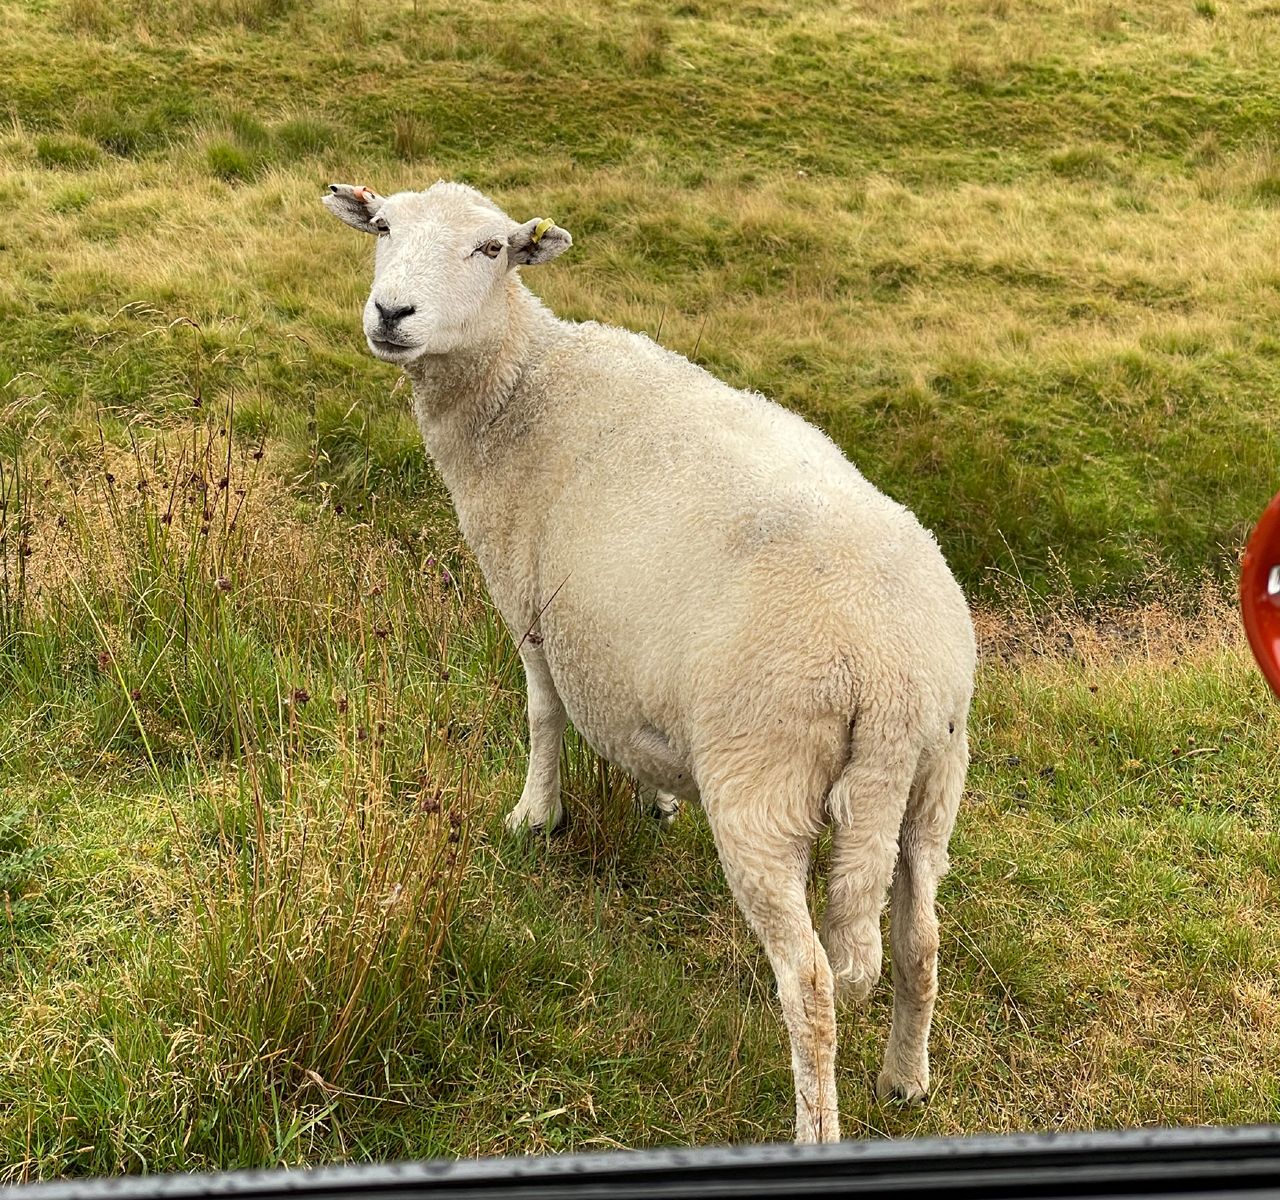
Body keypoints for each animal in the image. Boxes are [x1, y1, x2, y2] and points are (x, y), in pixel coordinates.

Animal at [325, 177, 972, 1141]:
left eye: (490, 249)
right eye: (384, 228)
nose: (391, 312)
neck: (522, 388)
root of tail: (890, 672)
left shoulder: (531, 606)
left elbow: (543, 714)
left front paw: (535, 817)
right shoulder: (612, 642)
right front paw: (656, 796)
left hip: (762, 785)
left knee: (812, 983)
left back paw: (815, 1125)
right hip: (932, 781)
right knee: (920, 941)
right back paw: (906, 1080)